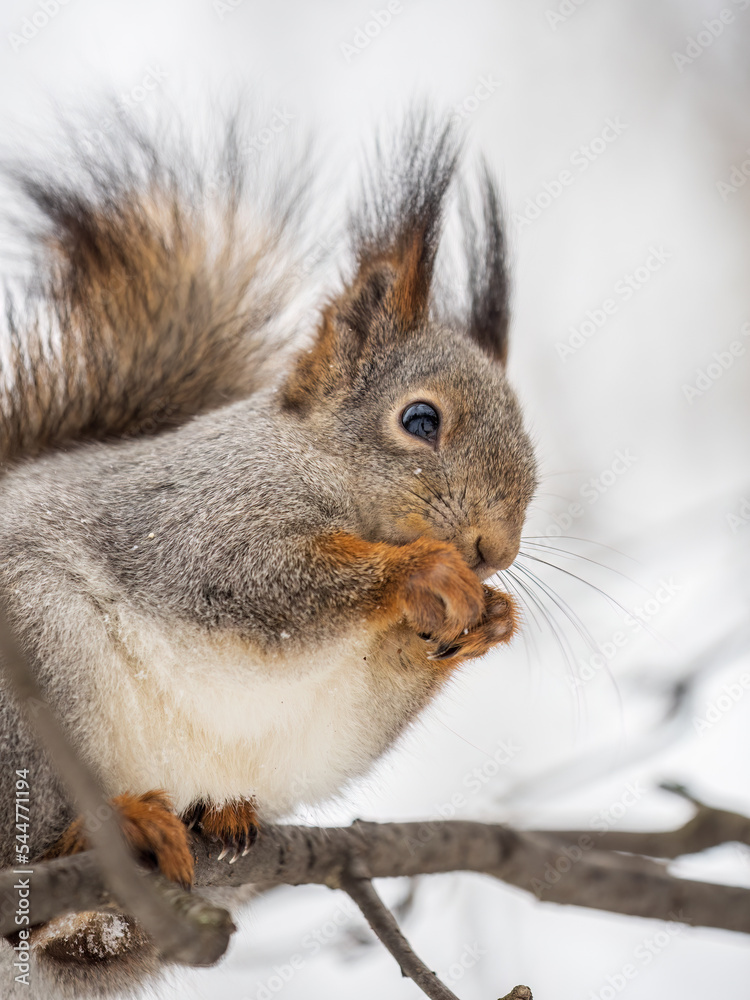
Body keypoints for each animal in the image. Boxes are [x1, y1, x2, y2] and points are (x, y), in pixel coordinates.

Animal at [0, 107, 537, 997]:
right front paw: (421, 573)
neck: (318, 465)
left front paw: (492, 617)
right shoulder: (203, 519)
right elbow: (254, 584)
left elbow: (376, 692)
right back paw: (116, 827)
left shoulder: (350, 694)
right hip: (34, 668)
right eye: (420, 420)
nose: (494, 549)